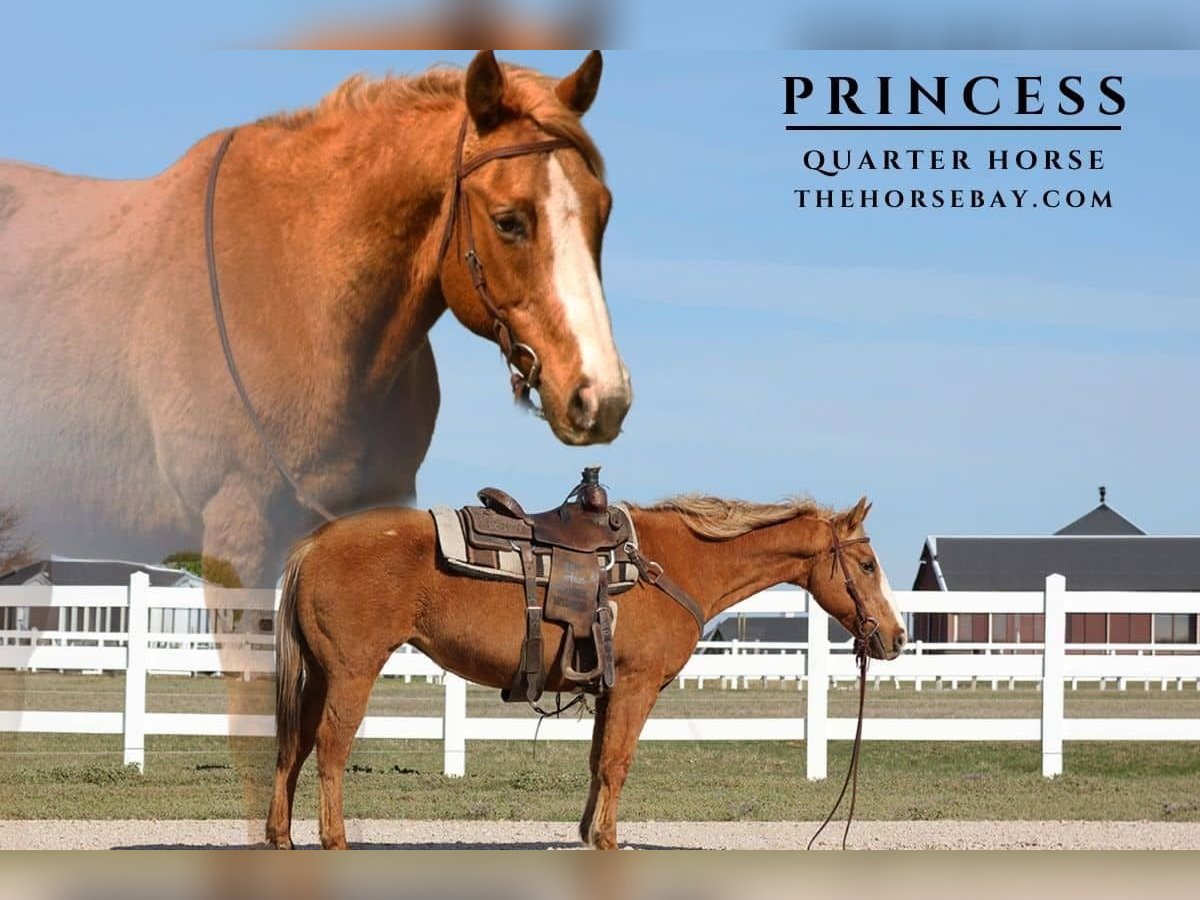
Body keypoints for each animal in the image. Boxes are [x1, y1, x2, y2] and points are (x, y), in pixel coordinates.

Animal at [266, 493, 907, 850]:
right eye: (867, 564)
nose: (897, 637)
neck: (672, 564)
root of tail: (313, 545)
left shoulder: (605, 689)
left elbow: (599, 760)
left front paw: (585, 832)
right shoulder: (636, 686)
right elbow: (619, 763)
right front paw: (607, 839)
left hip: (318, 675)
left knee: (291, 749)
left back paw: (281, 837)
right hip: (351, 673)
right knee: (329, 751)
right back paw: (334, 840)